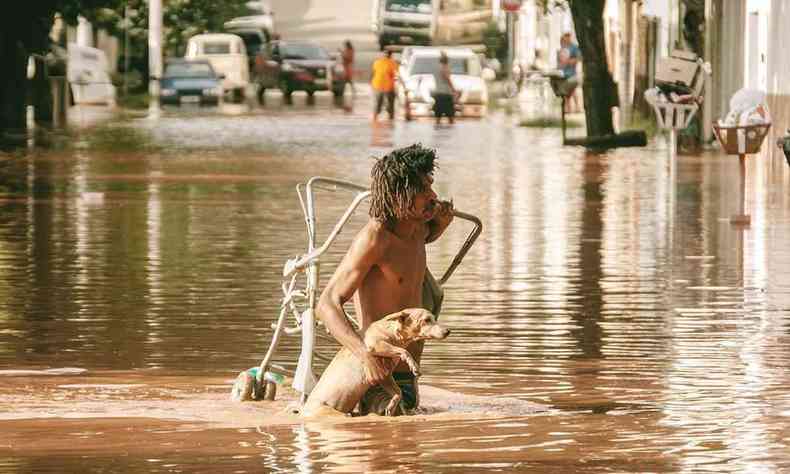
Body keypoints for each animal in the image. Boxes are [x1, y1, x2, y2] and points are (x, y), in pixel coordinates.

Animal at [304, 308, 452, 414]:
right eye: (426, 320)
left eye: (434, 318)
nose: (448, 331)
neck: (393, 333)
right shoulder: (375, 346)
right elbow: (404, 351)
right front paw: (414, 366)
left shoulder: (384, 375)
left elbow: (398, 391)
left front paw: (391, 407)